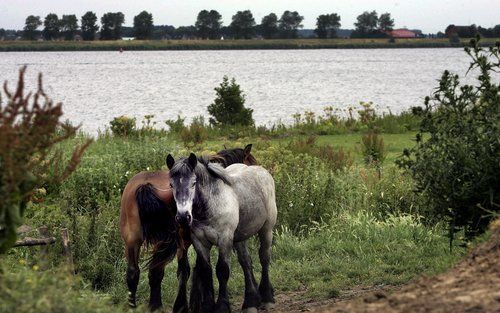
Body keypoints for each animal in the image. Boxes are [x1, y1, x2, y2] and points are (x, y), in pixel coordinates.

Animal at [119, 143, 256, 310]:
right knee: (166, 271)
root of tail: (145, 185)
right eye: (252, 162)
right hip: (171, 242)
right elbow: (197, 269)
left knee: (135, 273)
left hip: (132, 240)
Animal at [167, 153, 278, 312]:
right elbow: (206, 271)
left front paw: (222, 307)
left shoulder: (224, 239)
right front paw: (207, 306)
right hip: (240, 237)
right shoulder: (199, 241)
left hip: (267, 230)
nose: (183, 217)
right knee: (245, 261)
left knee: (264, 258)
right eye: (171, 185)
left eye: (193, 183)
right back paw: (251, 302)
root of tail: (262, 171)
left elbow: (222, 271)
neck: (211, 205)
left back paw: (267, 298)